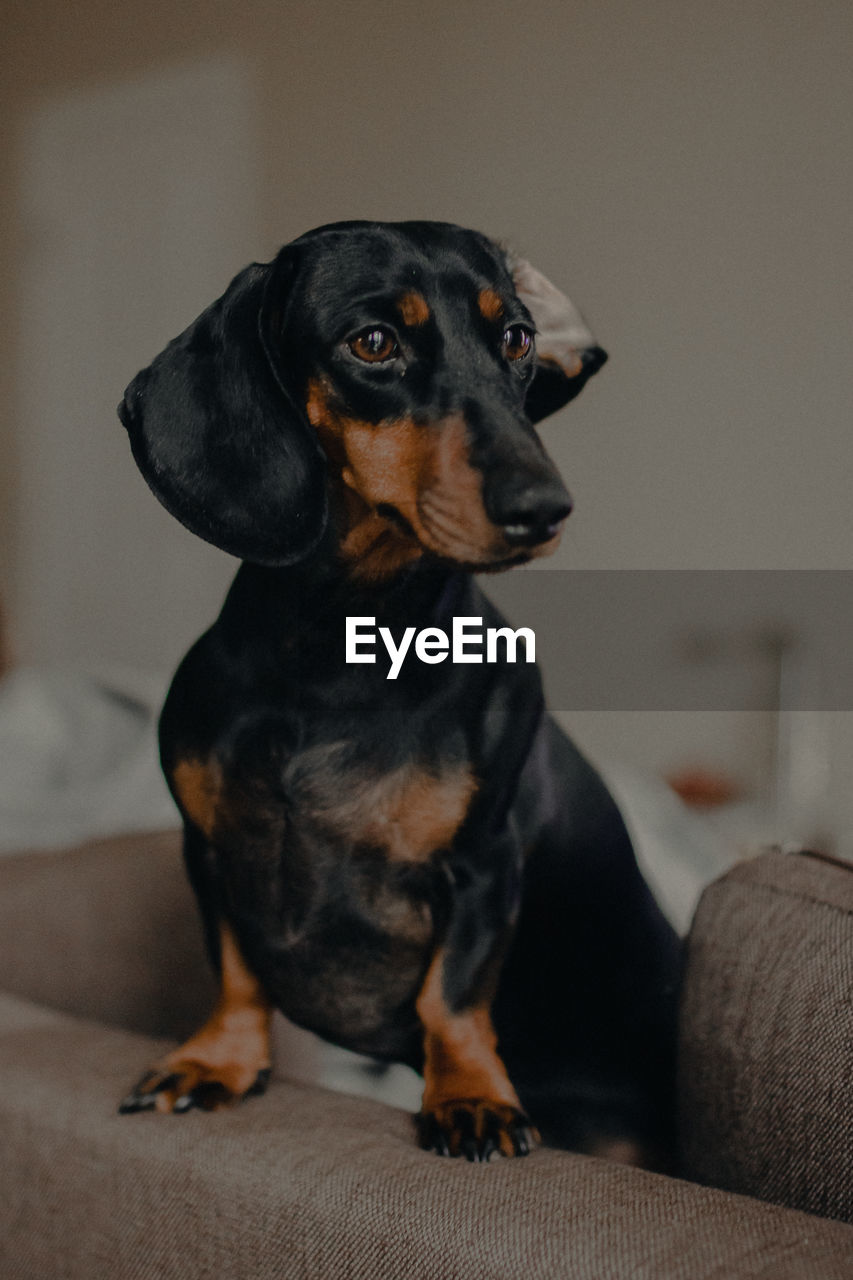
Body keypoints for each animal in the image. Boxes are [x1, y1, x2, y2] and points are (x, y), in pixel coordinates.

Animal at [117, 220, 676, 1162]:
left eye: (516, 339)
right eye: (373, 343)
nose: (544, 507)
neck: (334, 660)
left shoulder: (484, 863)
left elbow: (451, 996)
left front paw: (470, 1097)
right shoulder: (208, 848)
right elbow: (236, 970)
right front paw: (217, 1059)